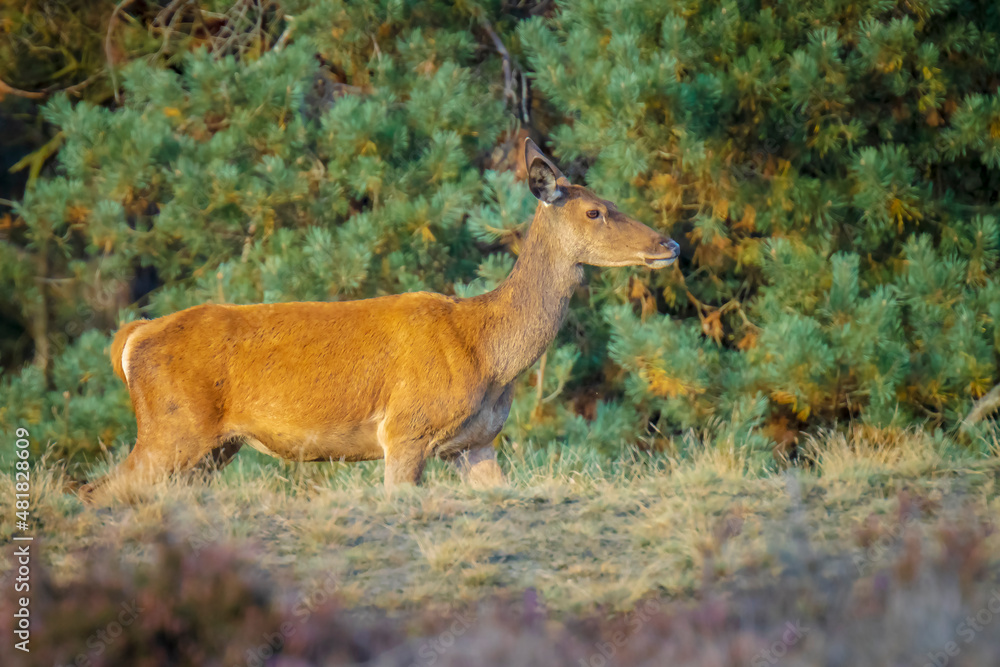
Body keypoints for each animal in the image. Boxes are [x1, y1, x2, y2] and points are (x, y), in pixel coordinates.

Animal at [81, 139, 679, 502]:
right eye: (594, 211)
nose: (668, 244)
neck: (487, 351)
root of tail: (133, 337)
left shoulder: (477, 443)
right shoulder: (407, 429)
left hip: (210, 448)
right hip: (171, 429)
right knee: (94, 491)